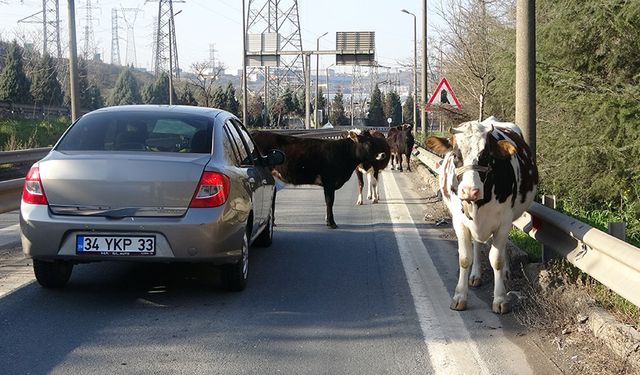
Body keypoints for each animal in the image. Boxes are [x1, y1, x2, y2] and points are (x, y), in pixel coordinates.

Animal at [252, 129, 388, 229]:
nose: (383, 154)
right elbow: (329, 201)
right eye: (369, 143)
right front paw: (332, 223)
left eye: (374, 141)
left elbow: (328, 202)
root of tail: (257, 132)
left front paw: (328, 220)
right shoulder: (329, 182)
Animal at [428, 117, 536, 314]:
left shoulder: (504, 221)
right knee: (477, 244)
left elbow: (497, 259)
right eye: (456, 155)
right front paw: (460, 296)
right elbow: (464, 258)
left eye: (486, 155)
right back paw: (475, 275)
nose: (470, 191)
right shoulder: (459, 222)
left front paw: (500, 298)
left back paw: (506, 272)